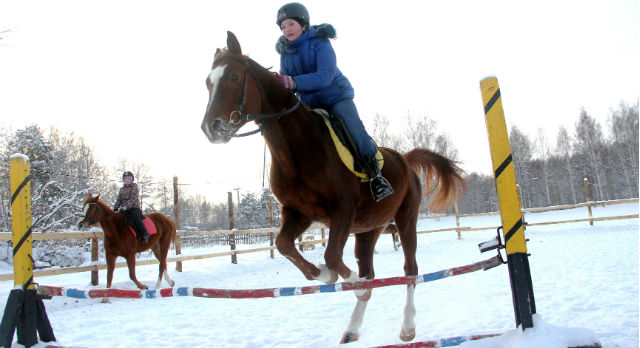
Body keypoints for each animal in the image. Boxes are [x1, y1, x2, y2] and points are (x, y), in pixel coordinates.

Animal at [200, 32, 464, 342]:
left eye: (233, 76)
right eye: (208, 82)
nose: (211, 127)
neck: (297, 148)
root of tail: (405, 160)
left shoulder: (342, 210)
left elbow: (331, 255)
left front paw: (341, 279)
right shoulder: (298, 213)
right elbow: (285, 245)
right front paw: (325, 275)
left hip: (406, 219)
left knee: (410, 269)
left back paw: (407, 326)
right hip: (369, 230)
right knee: (369, 270)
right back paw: (353, 327)